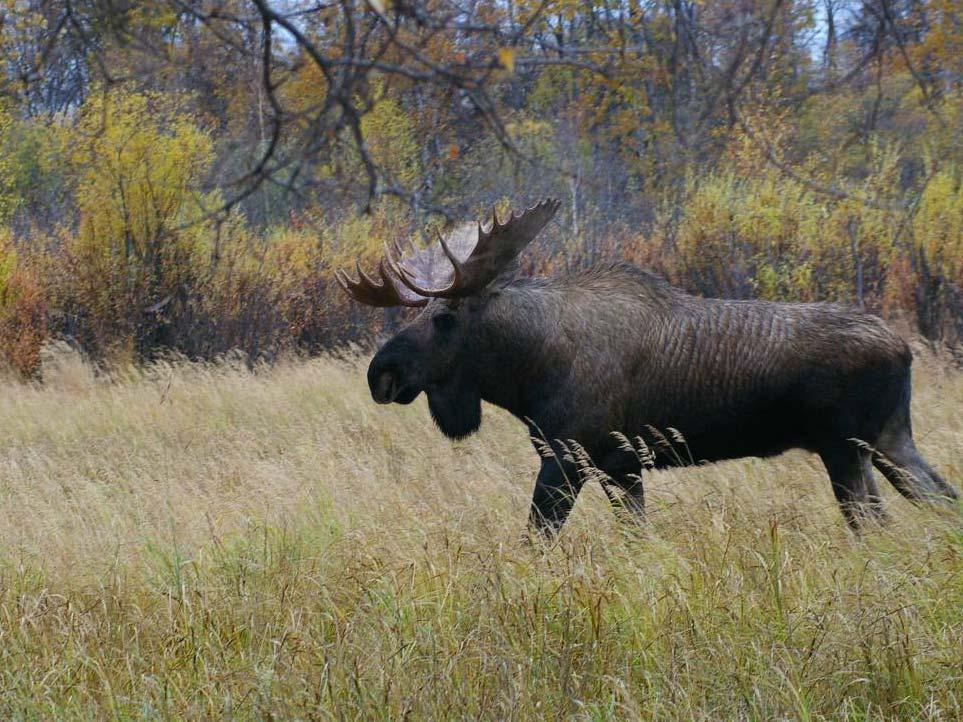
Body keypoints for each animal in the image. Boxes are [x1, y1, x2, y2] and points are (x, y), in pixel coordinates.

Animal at [338, 200, 956, 532]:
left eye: (444, 319)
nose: (380, 373)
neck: (528, 370)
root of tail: (903, 350)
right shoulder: (623, 467)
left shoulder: (569, 458)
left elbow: (535, 538)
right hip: (890, 441)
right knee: (944, 500)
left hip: (846, 450)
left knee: (876, 524)